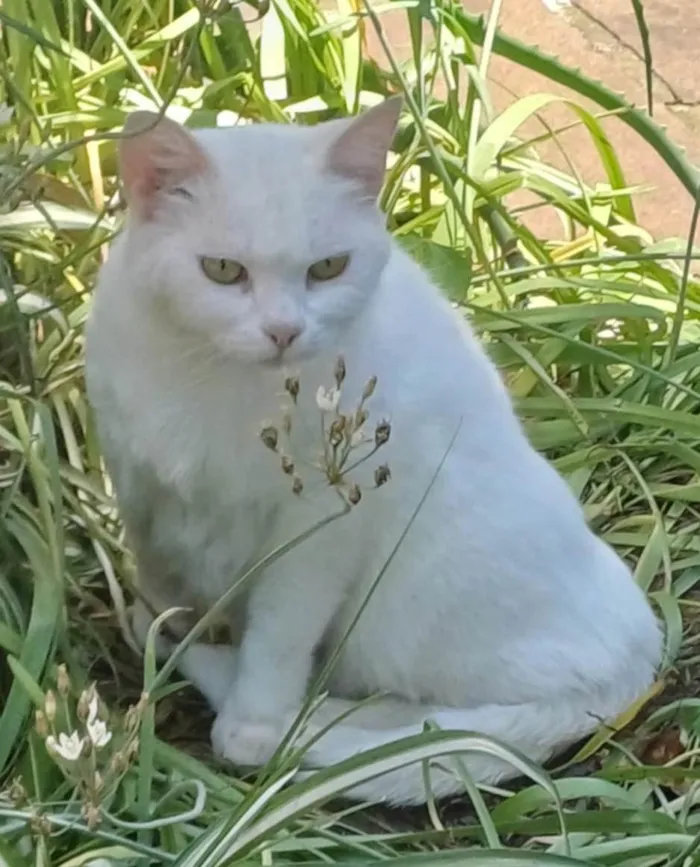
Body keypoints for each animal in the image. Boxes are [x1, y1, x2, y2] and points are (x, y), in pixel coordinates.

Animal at [86, 101, 660, 808]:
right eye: (222, 270)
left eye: (328, 268)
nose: (284, 331)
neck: (212, 382)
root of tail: (642, 650)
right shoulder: (140, 487)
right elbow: (160, 577)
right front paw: (159, 625)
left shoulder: (319, 530)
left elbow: (281, 630)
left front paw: (254, 723)